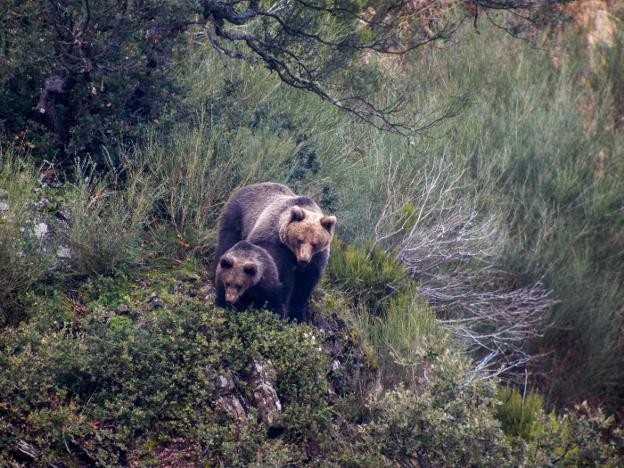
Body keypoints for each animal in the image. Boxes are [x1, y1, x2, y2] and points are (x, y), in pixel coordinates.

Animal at [216, 183, 336, 322]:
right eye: (299, 239)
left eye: (315, 243)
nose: (304, 259)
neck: (292, 252)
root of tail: (250, 186)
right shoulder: (273, 241)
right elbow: (282, 279)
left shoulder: (316, 259)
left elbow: (305, 285)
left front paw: (296, 315)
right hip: (236, 216)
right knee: (226, 242)